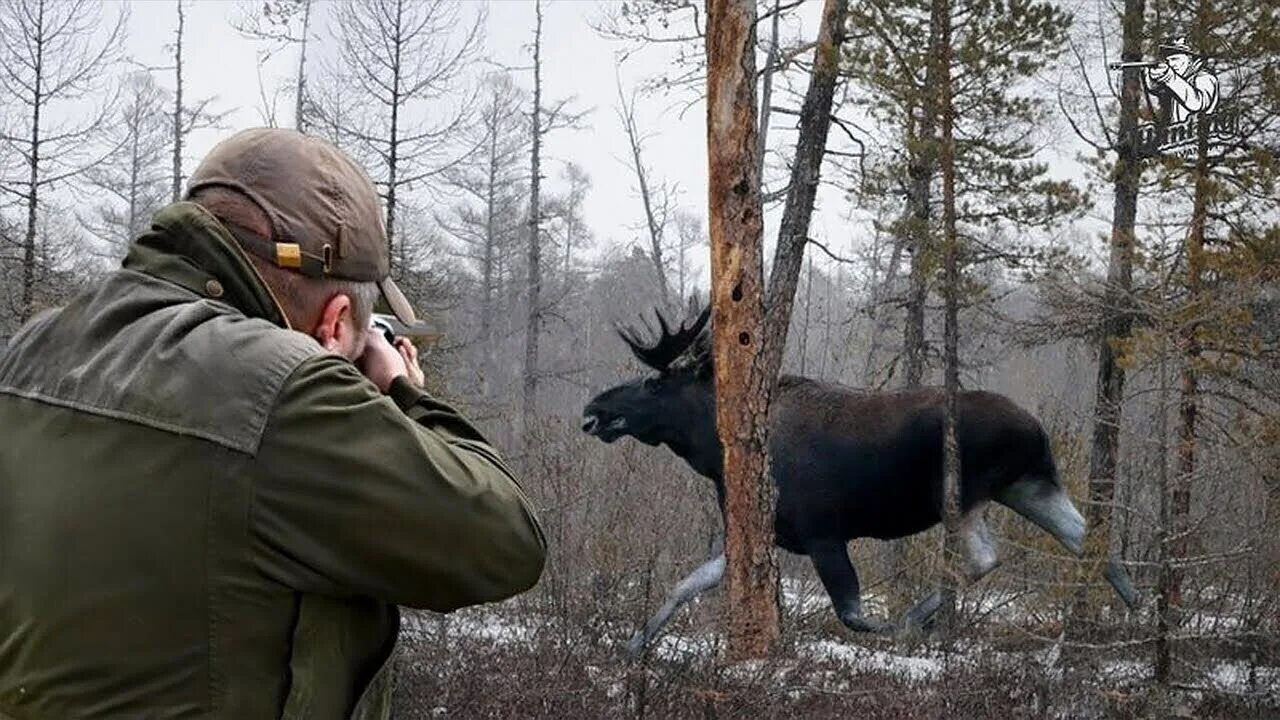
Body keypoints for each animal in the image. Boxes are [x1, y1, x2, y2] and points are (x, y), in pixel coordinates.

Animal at [586, 304, 1136, 653]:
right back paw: (1140, 619)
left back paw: (915, 619)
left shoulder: (823, 534)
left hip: (962, 492)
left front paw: (896, 628)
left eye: (653, 382)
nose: (594, 409)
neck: (713, 454)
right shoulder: (765, 533)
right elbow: (685, 584)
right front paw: (633, 646)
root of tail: (1038, 428)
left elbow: (852, 613)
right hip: (1029, 485)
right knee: (1091, 540)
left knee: (986, 557)